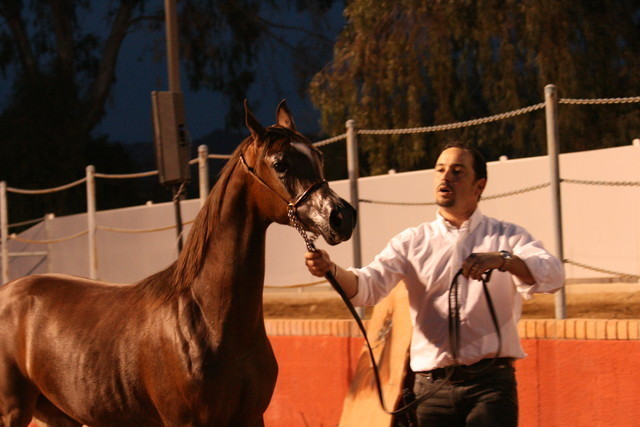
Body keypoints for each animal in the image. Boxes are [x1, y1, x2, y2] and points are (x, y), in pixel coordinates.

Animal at [0, 100, 357, 426]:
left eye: (318, 156)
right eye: (280, 164)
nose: (341, 217)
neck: (208, 318)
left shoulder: (252, 417)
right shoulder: (185, 421)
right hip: (13, 411)